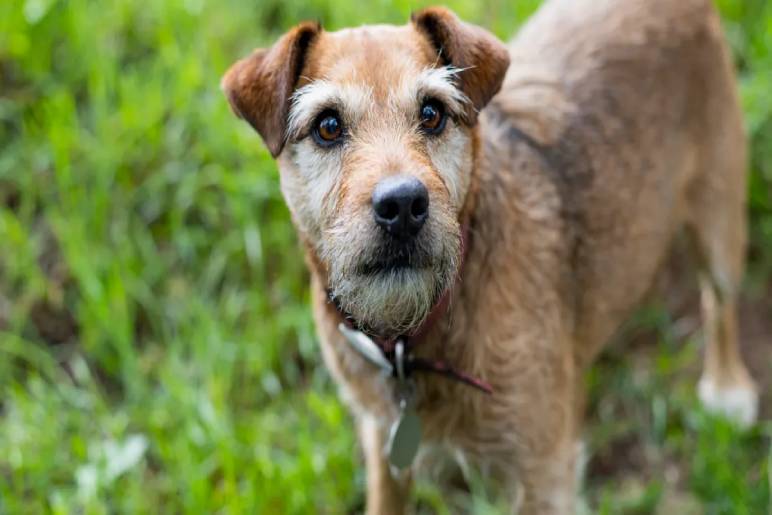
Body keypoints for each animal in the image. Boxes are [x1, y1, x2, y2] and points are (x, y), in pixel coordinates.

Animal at [220, 0, 756, 512]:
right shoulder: (381, 440)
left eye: (432, 113)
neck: (415, 340)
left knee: (720, 301)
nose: (402, 205)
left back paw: (727, 387)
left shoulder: (544, 473)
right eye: (328, 126)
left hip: (721, 216)